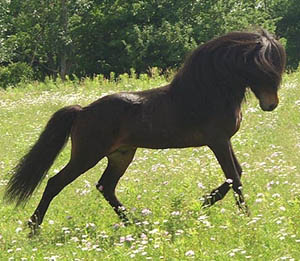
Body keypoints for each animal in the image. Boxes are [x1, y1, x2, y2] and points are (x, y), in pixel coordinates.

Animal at [4, 29, 286, 231]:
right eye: (261, 67)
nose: (270, 105)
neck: (206, 94)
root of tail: (82, 111)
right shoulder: (217, 140)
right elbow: (234, 178)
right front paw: (247, 218)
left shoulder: (223, 141)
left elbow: (235, 174)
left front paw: (202, 202)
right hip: (87, 156)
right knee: (55, 183)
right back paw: (33, 228)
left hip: (121, 155)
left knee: (105, 187)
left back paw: (135, 224)